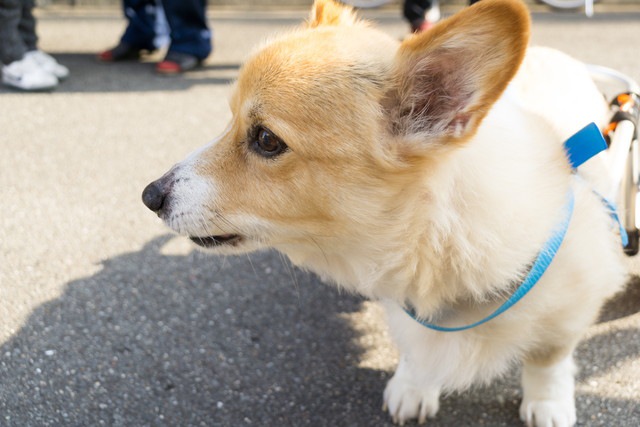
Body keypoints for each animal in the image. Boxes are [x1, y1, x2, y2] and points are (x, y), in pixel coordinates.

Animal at [142, 1, 628, 426]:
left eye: (266, 139)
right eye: (229, 122)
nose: (150, 196)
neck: (439, 236)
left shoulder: (571, 311)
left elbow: (548, 360)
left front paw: (547, 404)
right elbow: (413, 351)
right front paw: (413, 388)